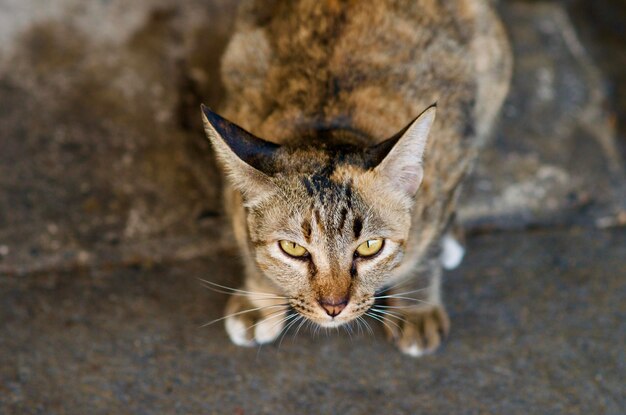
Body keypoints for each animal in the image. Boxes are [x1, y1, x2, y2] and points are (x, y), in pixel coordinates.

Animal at [202, 0, 510, 358]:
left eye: (370, 247)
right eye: (293, 248)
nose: (333, 306)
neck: (327, 122)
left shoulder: (454, 155)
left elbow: (428, 247)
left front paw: (416, 307)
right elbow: (251, 249)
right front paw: (258, 300)